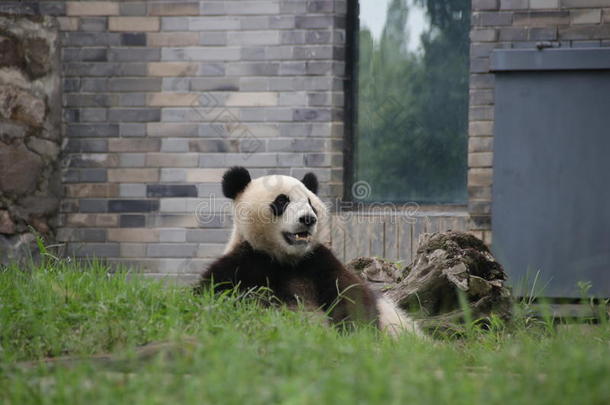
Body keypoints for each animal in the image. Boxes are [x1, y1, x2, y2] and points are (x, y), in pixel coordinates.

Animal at [192, 166, 420, 336]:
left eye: (310, 202)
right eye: (282, 201)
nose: (308, 219)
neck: (285, 259)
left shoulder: (318, 262)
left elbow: (352, 295)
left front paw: (354, 332)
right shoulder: (244, 262)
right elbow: (215, 297)